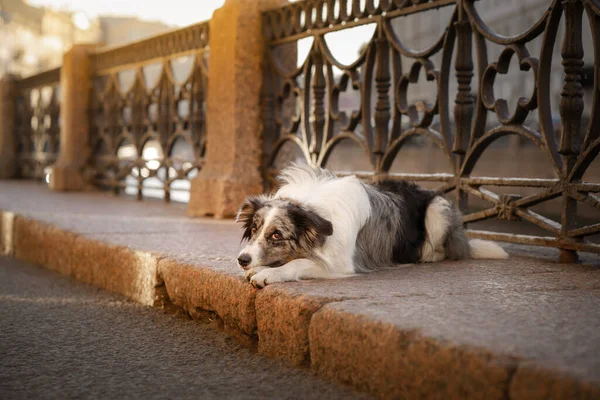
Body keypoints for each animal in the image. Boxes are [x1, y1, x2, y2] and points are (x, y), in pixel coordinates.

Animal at [234, 164, 506, 290]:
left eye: (276, 235)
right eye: (255, 229)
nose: (242, 259)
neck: (313, 208)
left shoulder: (342, 264)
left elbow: (299, 263)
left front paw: (268, 274)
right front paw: (259, 268)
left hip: (437, 210)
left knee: (443, 250)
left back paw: (427, 255)